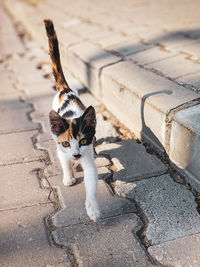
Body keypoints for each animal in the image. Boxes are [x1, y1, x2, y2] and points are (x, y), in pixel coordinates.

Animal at [43, 19, 100, 223]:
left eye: (83, 140)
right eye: (66, 143)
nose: (76, 155)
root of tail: (65, 89)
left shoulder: (88, 153)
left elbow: (91, 181)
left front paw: (92, 208)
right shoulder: (60, 148)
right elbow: (64, 161)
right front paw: (68, 177)